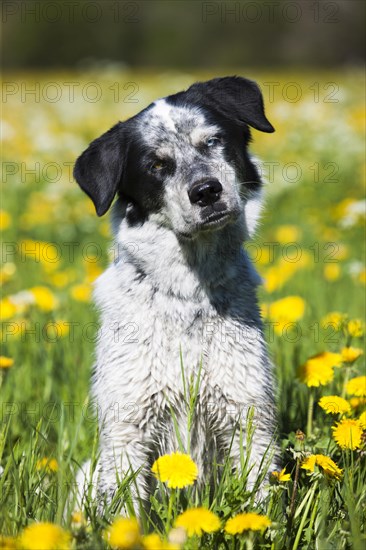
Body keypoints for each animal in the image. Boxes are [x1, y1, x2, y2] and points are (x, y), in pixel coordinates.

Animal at [73, 76, 280, 508]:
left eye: (213, 141)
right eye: (156, 165)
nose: (206, 191)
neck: (187, 296)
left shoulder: (247, 414)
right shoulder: (128, 426)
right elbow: (125, 510)